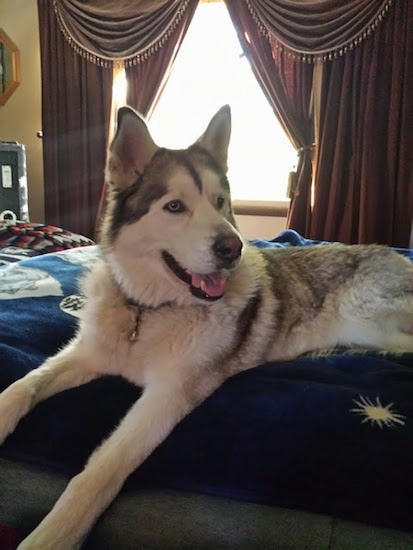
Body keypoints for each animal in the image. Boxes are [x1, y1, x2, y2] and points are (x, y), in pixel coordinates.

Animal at [2, 105, 412, 548]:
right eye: (175, 207)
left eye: (220, 202)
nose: (234, 248)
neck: (149, 310)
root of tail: (395, 255)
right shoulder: (86, 355)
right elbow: (23, 386)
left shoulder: (168, 395)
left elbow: (99, 471)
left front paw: (51, 535)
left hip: (369, 318)